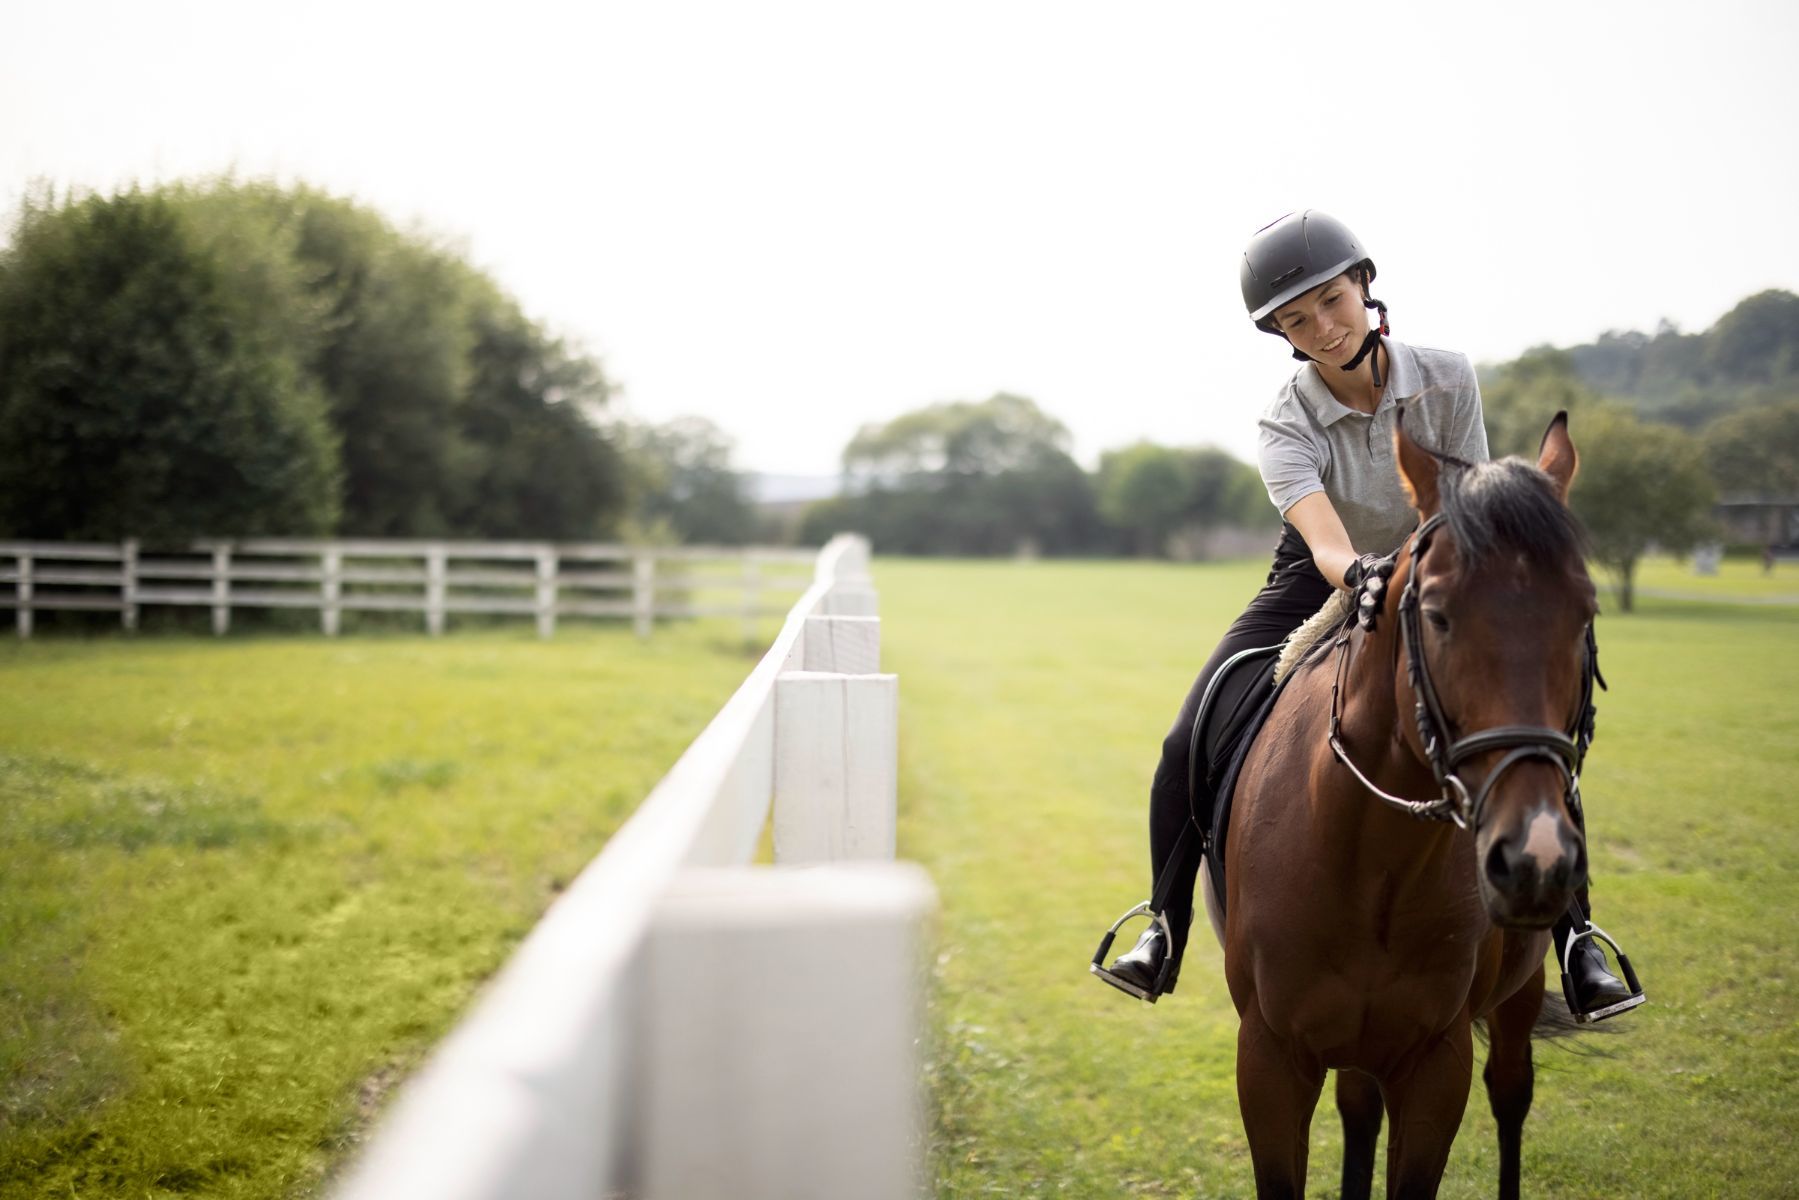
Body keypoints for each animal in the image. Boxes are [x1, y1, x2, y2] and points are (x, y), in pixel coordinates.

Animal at [1208, 415, 1604, 1200]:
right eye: (1437, 615)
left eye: (1584, 614)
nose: (1536, 858)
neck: (1371, 858)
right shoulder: (1269, 1057)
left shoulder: (1435, 1064)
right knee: (1360, 1110)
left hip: (1517, 994)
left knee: (1510, 1093)